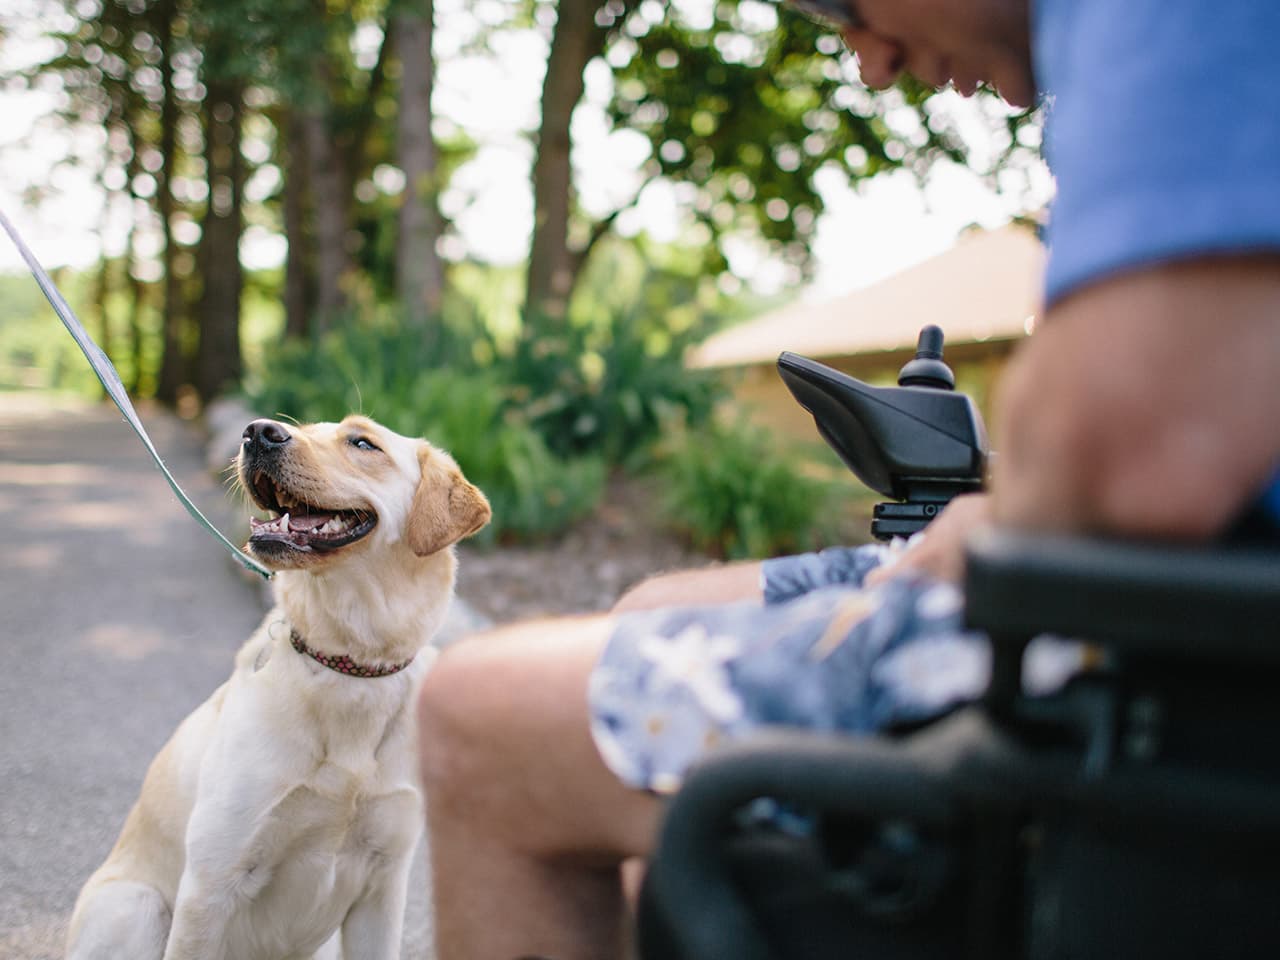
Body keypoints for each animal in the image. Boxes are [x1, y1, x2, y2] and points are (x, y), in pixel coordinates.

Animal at [67, 417, 491, 960]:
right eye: (303, 427)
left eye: (362, 442)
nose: (257, 432)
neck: (348, 663)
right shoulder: (210, 883)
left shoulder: (384, 887)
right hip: (134, 906)